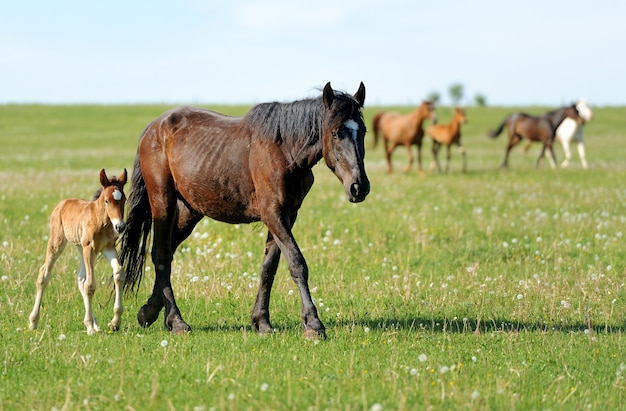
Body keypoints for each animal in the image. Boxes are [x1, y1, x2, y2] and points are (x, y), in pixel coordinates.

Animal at [29, 170, 127, 334]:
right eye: (107, 201)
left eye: (124, 199)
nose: (120, 226)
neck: (101, 220)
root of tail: (62, 203)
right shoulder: (90, 248)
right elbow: (90, 285)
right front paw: (89, 327)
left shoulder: (108, 248)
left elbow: (118, 273)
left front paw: (115, 322)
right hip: (58, 243)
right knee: (44, 273)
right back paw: (33, 321)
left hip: (80, 247)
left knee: (80, 278)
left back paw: (95, 325)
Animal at [119, 82, 368, 340]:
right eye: (336, 133)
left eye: (363, 131)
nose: (359, 187)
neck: (284, 151)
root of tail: (153, 128)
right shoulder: (273, 214)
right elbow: (297, 263)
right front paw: (314, 324)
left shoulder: (287, 216)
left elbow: (269, 268)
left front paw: (262, 322)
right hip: (163, 202)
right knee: (161, 254)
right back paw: (177, 321)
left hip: (189, 212)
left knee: (167, 251)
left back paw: (150, 311)